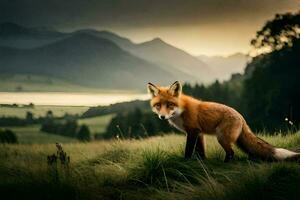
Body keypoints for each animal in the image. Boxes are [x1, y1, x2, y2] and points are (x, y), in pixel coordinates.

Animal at [148, 80, 300, 162]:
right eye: (158, 105)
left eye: (170, 105)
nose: (162, 117)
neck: (181, 111)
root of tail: (241, 116)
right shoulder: (199, 133)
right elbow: (201, 152)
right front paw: (203, 163)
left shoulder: (192, 131)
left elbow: (188, 151)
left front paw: (185, 162)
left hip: (221, 137)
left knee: (231, 153)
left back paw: (225, 163)